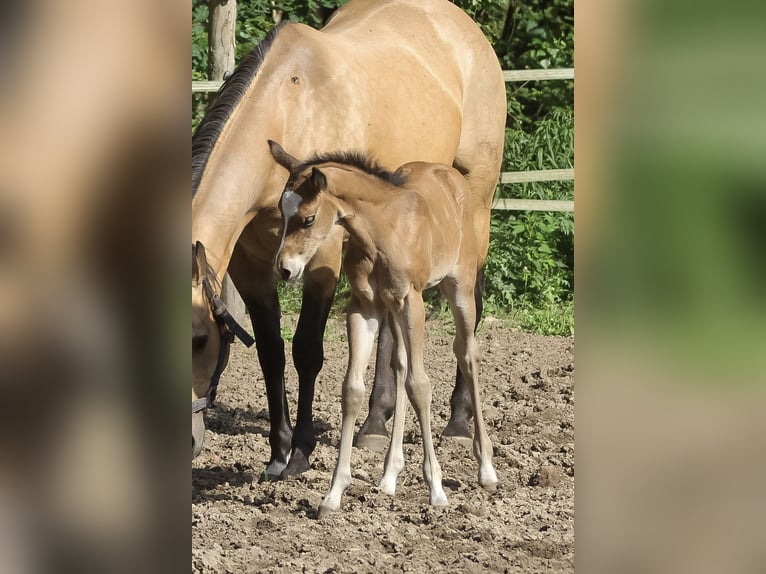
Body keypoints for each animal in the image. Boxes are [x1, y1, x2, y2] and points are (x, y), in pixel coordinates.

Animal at [192, 0, 506, 477]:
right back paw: (375, 423)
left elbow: (306, 349)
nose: (189, 442)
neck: (289, 106)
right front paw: (277, 452)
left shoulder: (322, 256)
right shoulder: (249, 261)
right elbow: (270, 351)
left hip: (475, 208)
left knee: (470, 309)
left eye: (199, 340)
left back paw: (457, 420)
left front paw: (300, 453)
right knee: (393, 334)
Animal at [268, 141, 498, 516]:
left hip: (459, 288)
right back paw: (389, 476)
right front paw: (333, 493)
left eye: (308, 218)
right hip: (393, 310)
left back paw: (487, 469)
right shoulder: (364, 308)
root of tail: (451, 175)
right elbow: (353, 390)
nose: (285, 270)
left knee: (467, 355)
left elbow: (421, 386)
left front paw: (436, 490)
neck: (381, 230)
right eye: (280, 211)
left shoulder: (412, 303)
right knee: (400, 364)